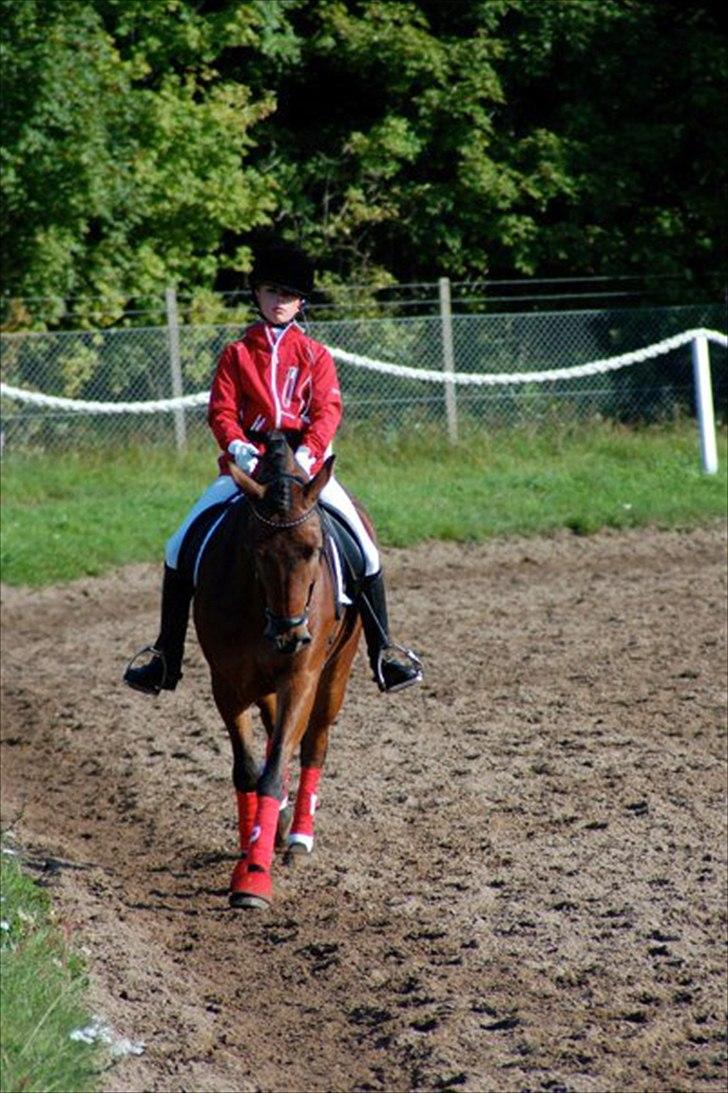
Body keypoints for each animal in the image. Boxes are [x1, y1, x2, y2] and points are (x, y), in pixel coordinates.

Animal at [192, 431, 364, 909]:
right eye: (256, 551)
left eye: (314, 549)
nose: (290, 636)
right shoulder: (227, 684)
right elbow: (250, 770)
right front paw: (251, 849)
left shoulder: (301, 680)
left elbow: (272, 771)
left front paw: (254, 877)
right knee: (274, 738)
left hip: (334, 676)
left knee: (313, 744)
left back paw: (299, 837)